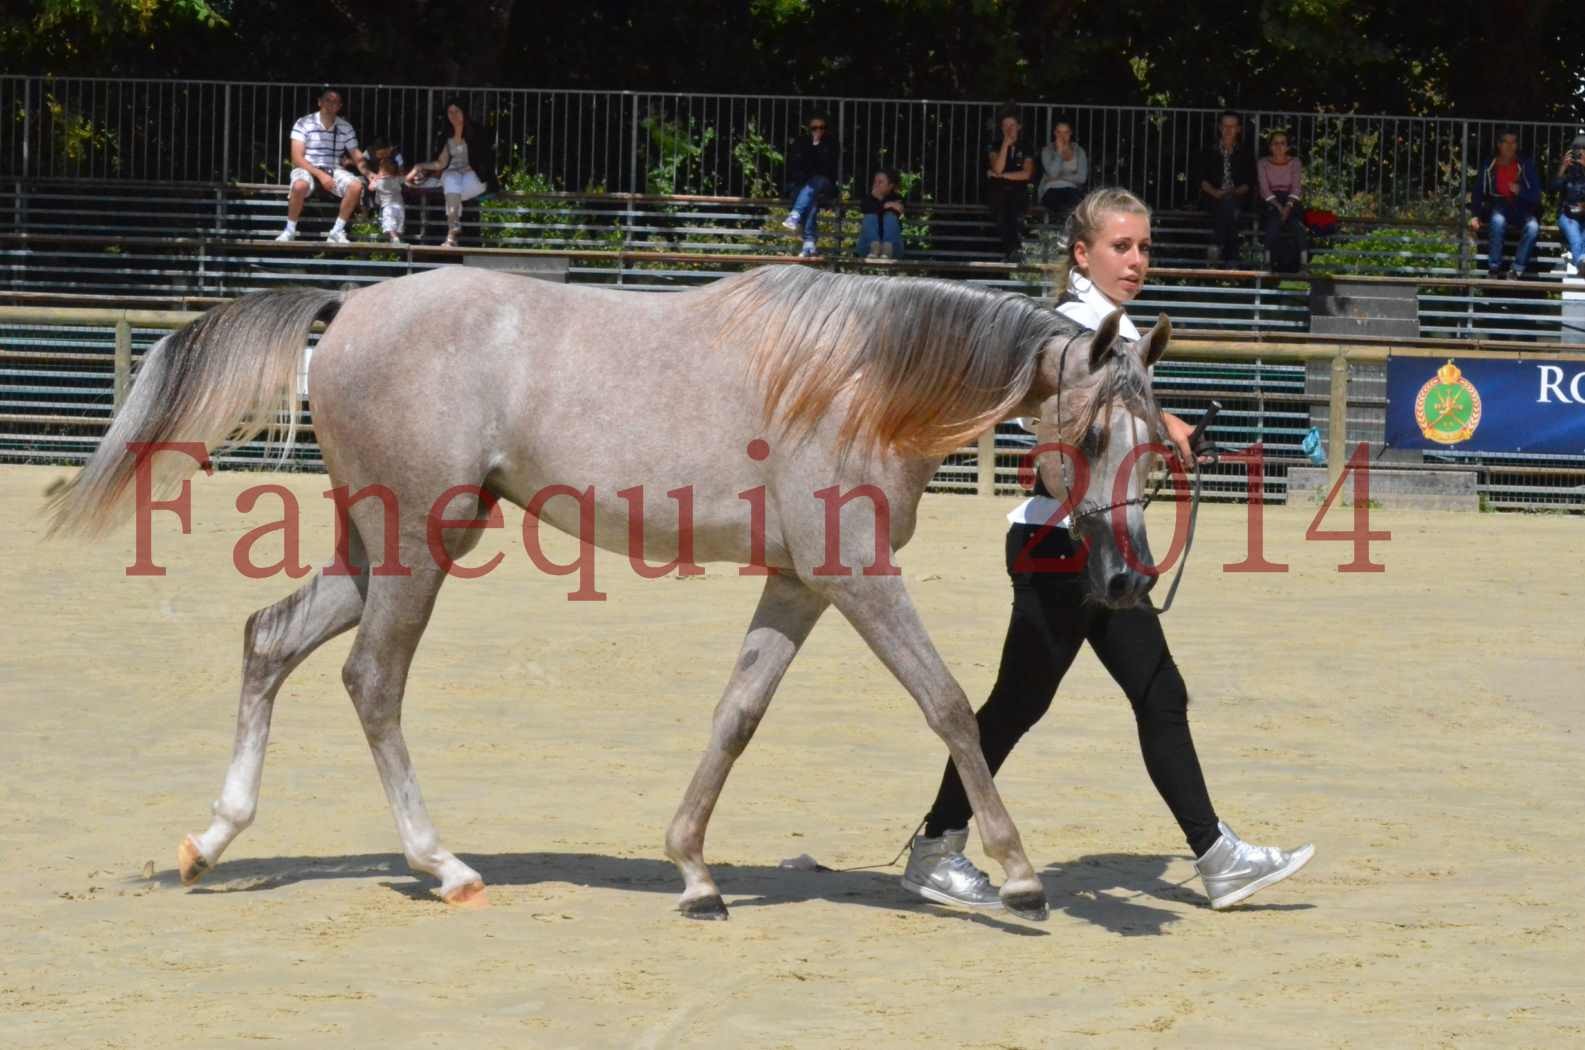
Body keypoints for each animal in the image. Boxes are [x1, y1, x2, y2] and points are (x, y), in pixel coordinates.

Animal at [49, 268, 1172, 926]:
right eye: (1089, 435)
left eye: (1155, 444)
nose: (1125, 582)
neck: (858, 383)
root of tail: (354, 304)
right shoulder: (856, 576)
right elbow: (948, 706)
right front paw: (1019, 875)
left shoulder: (799, 584)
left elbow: (737, 715)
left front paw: (694, 874)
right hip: (416, 546)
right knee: (371, 680)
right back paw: (442, 865)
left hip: (381, 547)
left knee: (270, 639)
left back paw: (213, 839)